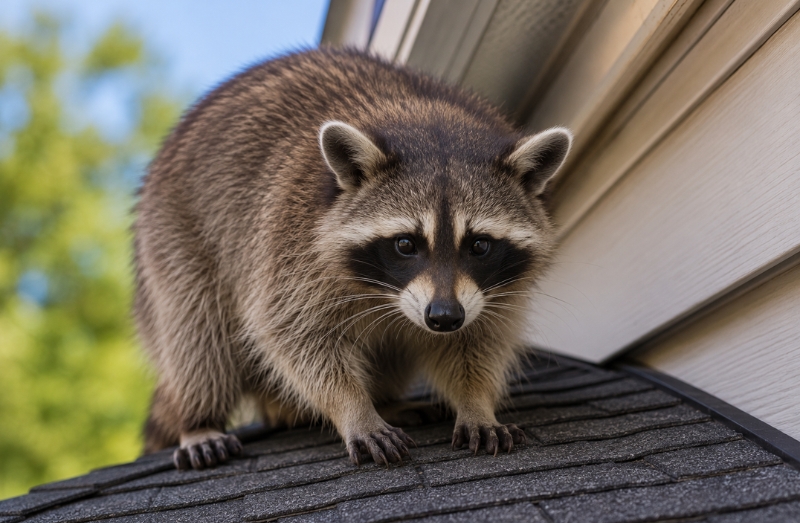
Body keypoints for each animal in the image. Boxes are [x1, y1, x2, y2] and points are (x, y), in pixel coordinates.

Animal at [134, 48, 571, 470]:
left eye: (479, 245)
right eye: (405, 244)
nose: (444, 317)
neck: (430, 120)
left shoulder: (491, 292)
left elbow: (478, 340)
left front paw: (476, 402)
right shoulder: (289, 244)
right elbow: (296, 335)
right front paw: (354, 408)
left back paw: (388, 400)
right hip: (174, 237)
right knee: (198, 336)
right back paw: (199, 420)